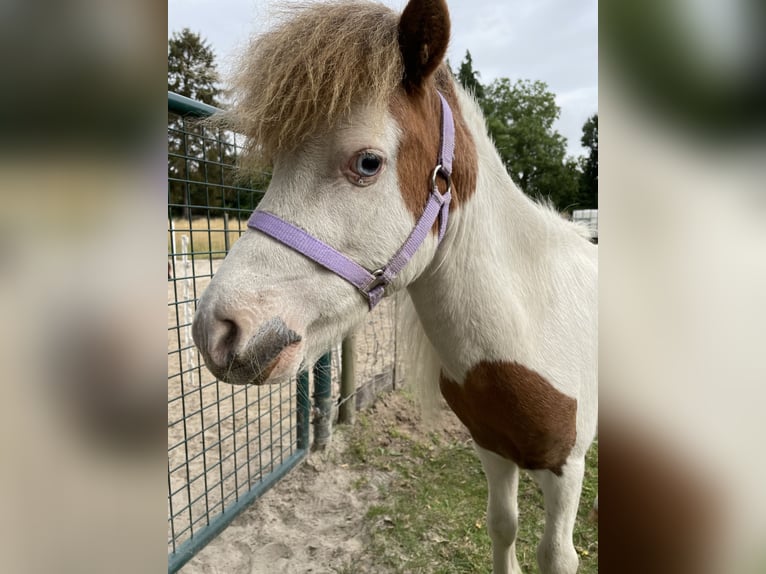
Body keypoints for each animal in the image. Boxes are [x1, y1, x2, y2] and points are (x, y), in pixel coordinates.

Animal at [191, 1, 597, 572]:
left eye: (368, 162)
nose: (217, 331)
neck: (530, 323)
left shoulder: (567, 470)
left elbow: (556, 555)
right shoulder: (492, 449)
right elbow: (503, 526)